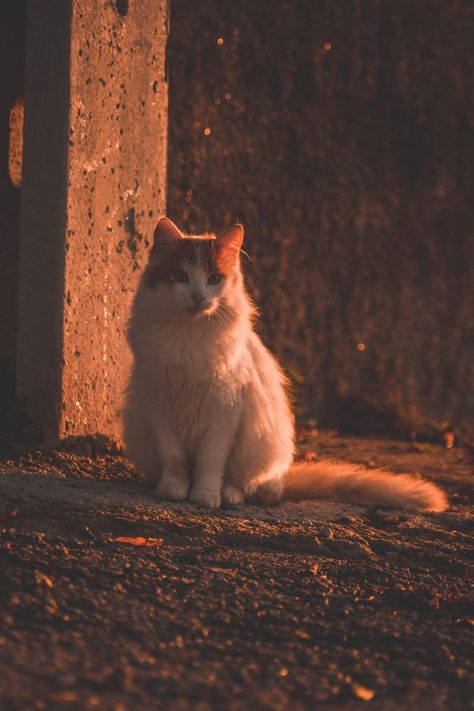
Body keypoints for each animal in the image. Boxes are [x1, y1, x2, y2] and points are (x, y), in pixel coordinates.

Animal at [123, 217, 448, 512]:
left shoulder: (223, 413)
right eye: (180, 277)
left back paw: (231, 495)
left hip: (261, 441)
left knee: (250, 486)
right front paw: (173, 489)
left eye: (214, 279)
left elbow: (210, 463)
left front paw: (205, 495)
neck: (189, 335)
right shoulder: (161, 407)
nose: (198, 297)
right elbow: (174, 458)